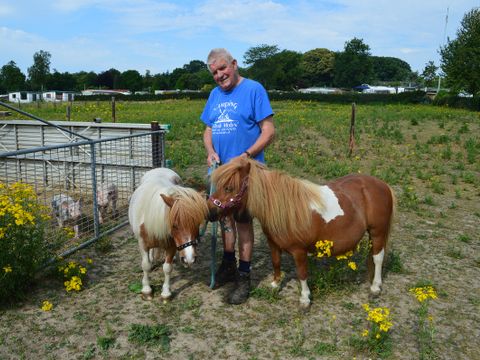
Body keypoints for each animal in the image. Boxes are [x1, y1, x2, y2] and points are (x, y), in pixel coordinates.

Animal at [129, 169, 208, 300]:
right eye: (174, 225)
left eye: (197, 224)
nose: (190, 259)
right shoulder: (142, 244)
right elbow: (146, 265)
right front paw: (146, 290)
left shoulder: (171, 246)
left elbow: (167, 268)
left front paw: (166, 293)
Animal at [209, 158, 394, 306]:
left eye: (229, 188)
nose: (210, 211)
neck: (285, 208)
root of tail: (382, 185)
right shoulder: (273, 244)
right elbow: (276, 262)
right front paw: (275, 285)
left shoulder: (299, 251)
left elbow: (302, 273)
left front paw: (304, 299)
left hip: (378, 232)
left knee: (378, 258)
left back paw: (375, 287)